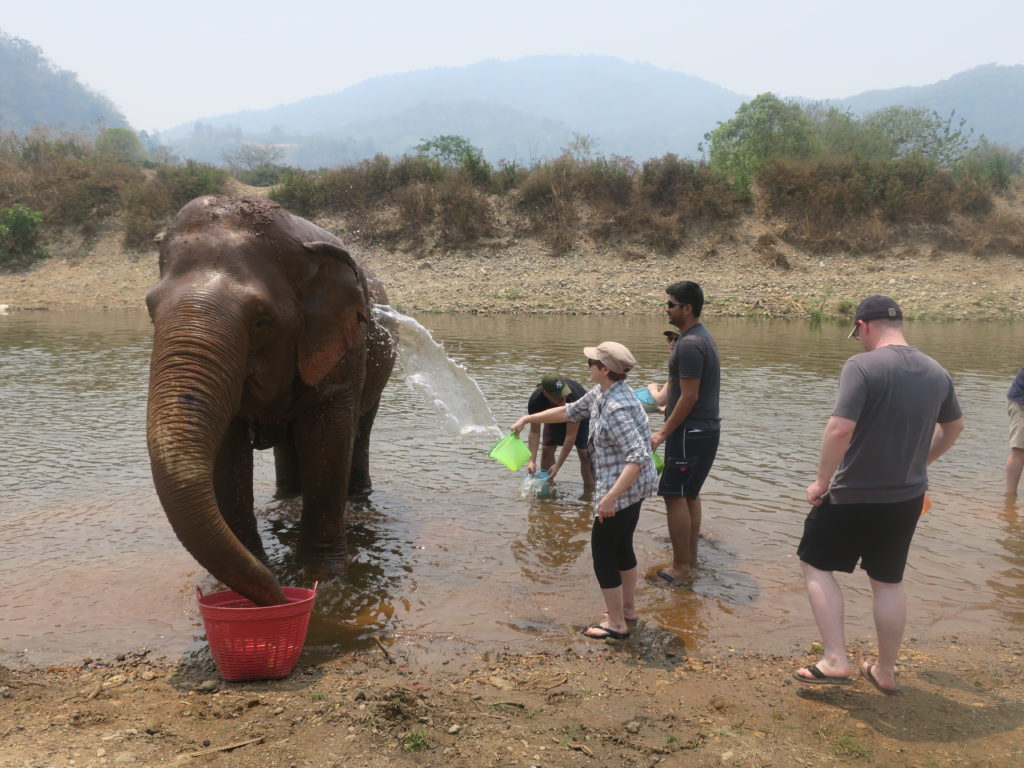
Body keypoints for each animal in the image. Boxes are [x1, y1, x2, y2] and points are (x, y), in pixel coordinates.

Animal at [146, 195, 396, 606]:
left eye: (262, 322)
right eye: (151, 308)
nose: (280, 595)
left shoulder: (343, 348)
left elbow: (328, 440)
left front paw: (322, 576)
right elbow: (228, 456)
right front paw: (252, 571)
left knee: (361, 430)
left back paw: (358, 498)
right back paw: (286, 498)